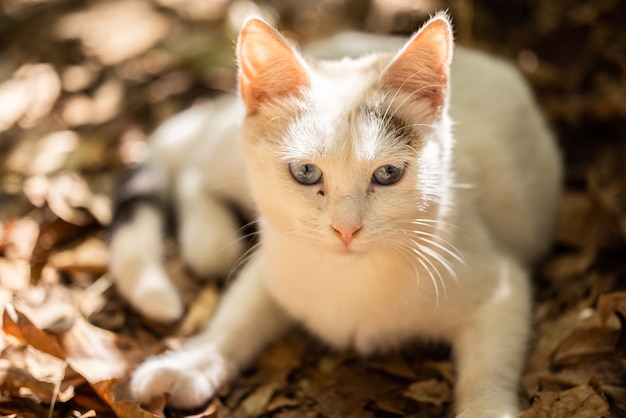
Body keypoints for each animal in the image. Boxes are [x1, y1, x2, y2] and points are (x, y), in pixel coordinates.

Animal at [109, 11, 564, 416]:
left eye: (388, 173)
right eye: (306, 172)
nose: (346, 229)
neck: (351, 279)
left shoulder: (500, 287)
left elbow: (489, 372)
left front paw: (485, 406)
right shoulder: (276, 260)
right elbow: (236, 319)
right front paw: (190, 364)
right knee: (191, 165)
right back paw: (209, 237)